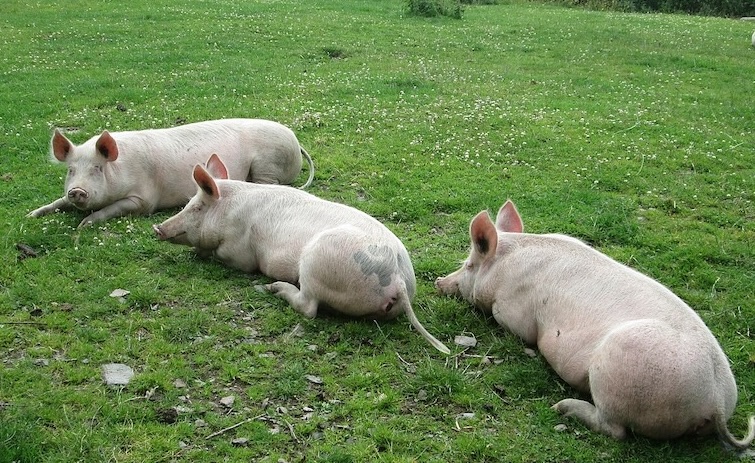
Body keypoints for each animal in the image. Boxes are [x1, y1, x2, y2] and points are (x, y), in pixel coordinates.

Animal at [27, 119, 314, 228]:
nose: (77, 190)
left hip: (267, 165)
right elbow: (57, 202)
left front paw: (84, 224)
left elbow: (113, 209)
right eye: (71, 170)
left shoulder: (144, 201)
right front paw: (31, 214)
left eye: (98, 168)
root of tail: (294, 138)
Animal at [153, 154, 450, 355]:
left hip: (315, 264)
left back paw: (272, 288)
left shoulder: (240, 252)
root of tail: (397, 278)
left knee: (308, 307)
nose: (158, 228)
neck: (229, 211)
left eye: (196, 208)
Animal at [435, 200, 754, 449]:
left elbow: (523, 332)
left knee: (615, 429)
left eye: (468, 265)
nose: (439, 281)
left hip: (617, 374)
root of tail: (716, 403)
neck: (506, 261)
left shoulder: (513, 311)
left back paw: (562, 408)